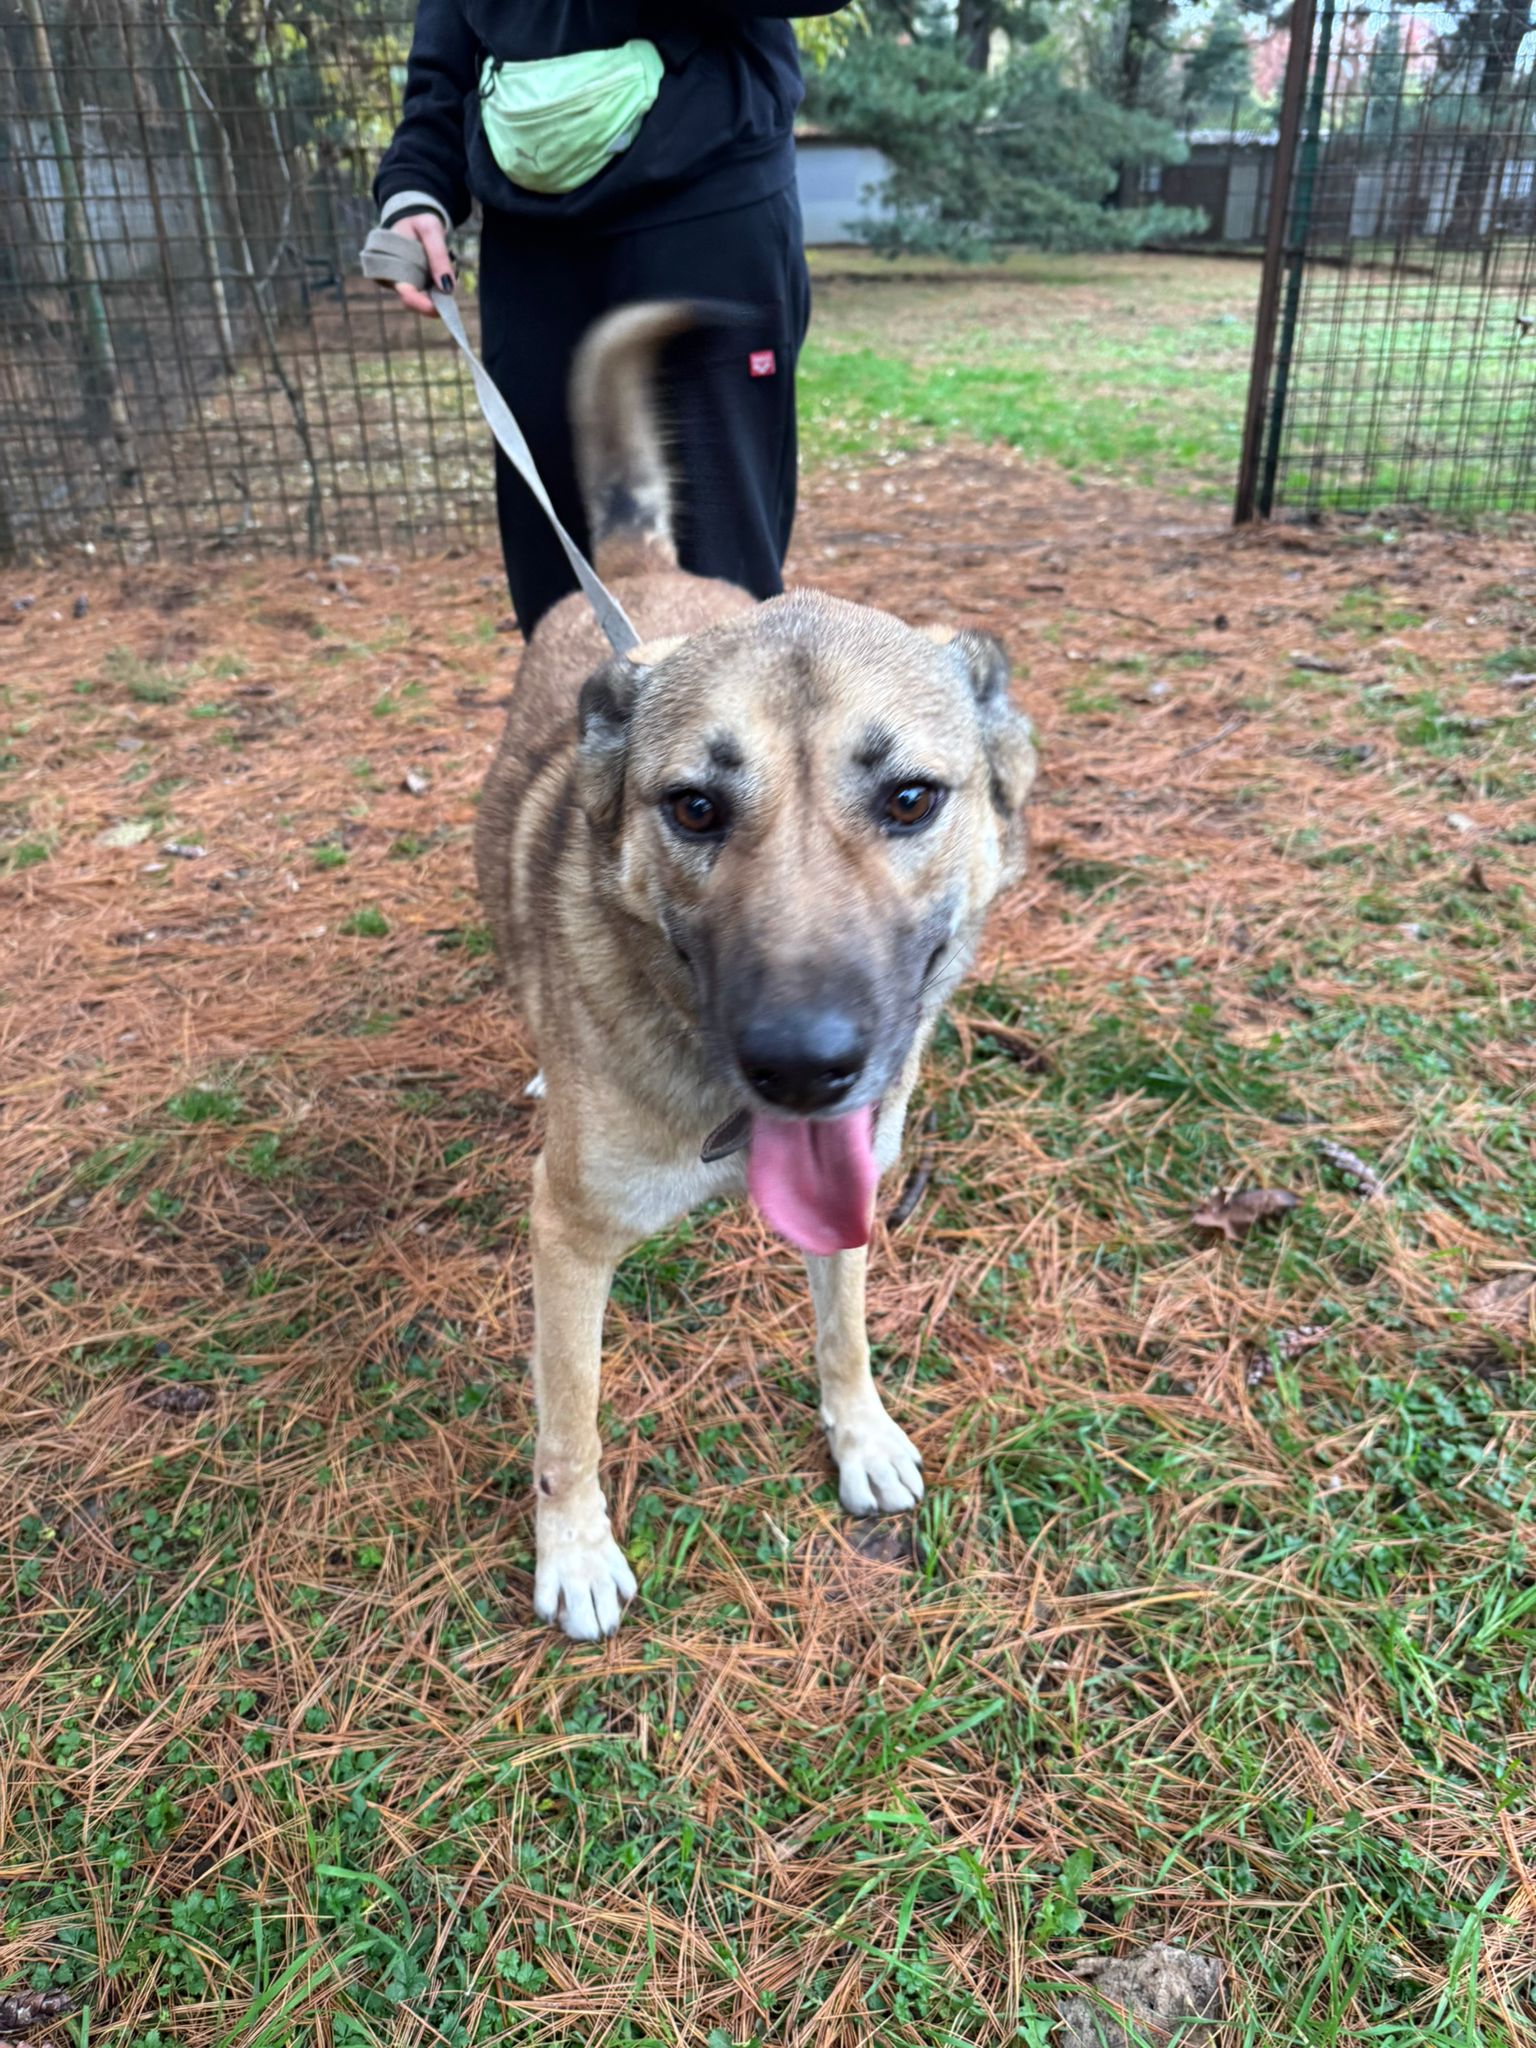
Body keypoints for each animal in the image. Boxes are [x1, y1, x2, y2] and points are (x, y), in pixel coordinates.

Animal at [474, 305, 1037, 1640]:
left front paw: (860, 1434)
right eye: (693, 806)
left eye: (910, 798)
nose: (803, 1066)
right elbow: (568, 1421)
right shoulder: (565, 1236)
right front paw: (575, 1549)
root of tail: (633, 571)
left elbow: (845, 1332)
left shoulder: (852, 1189)